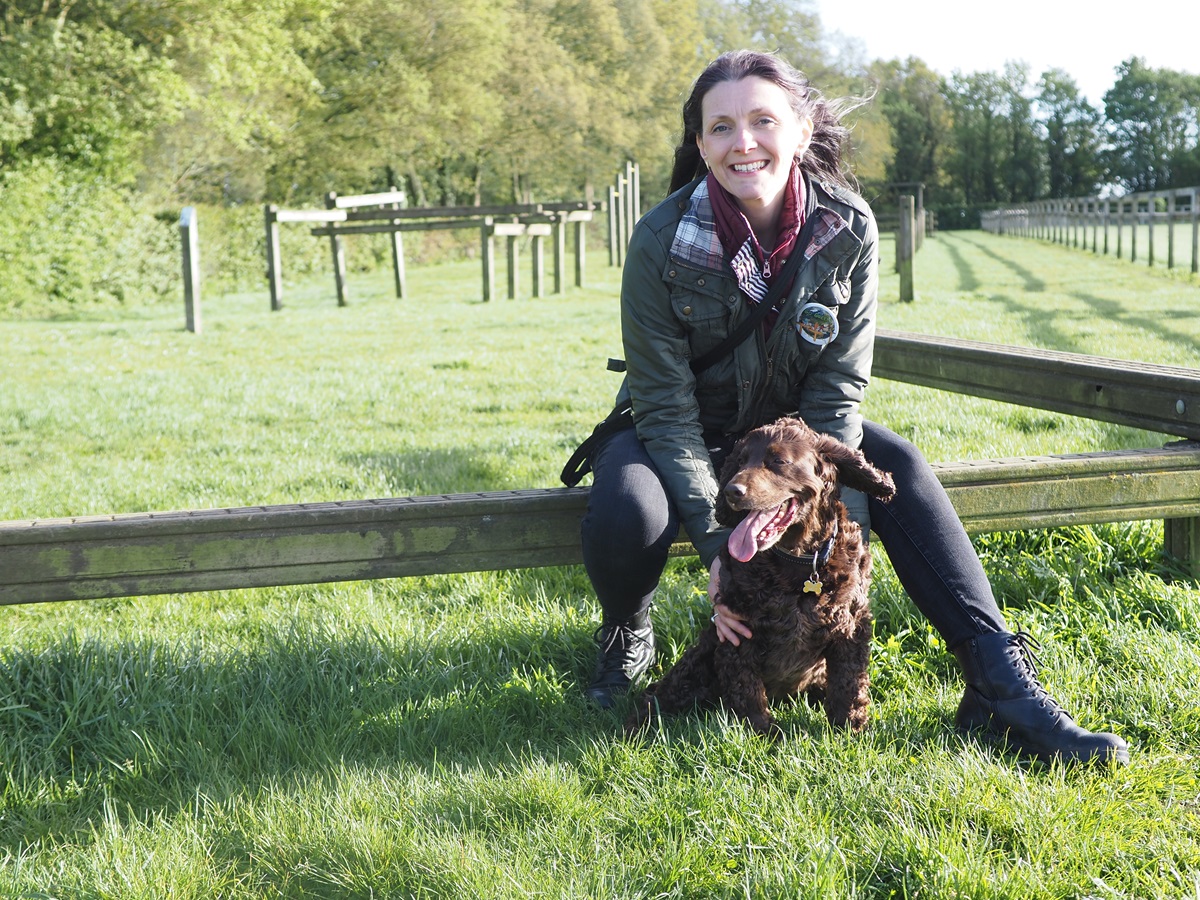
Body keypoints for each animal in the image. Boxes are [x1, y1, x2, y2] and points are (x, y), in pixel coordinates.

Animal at [628, 415, 892, 739]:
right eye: (740, 461)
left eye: (778, 461)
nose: (732, 491)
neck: (800, 562)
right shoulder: (737, 631)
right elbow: (746, 688)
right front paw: (764, 735)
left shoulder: (851, 626)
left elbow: (849, 681)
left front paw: (849, 729)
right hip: (700, 658)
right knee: (659, 695)